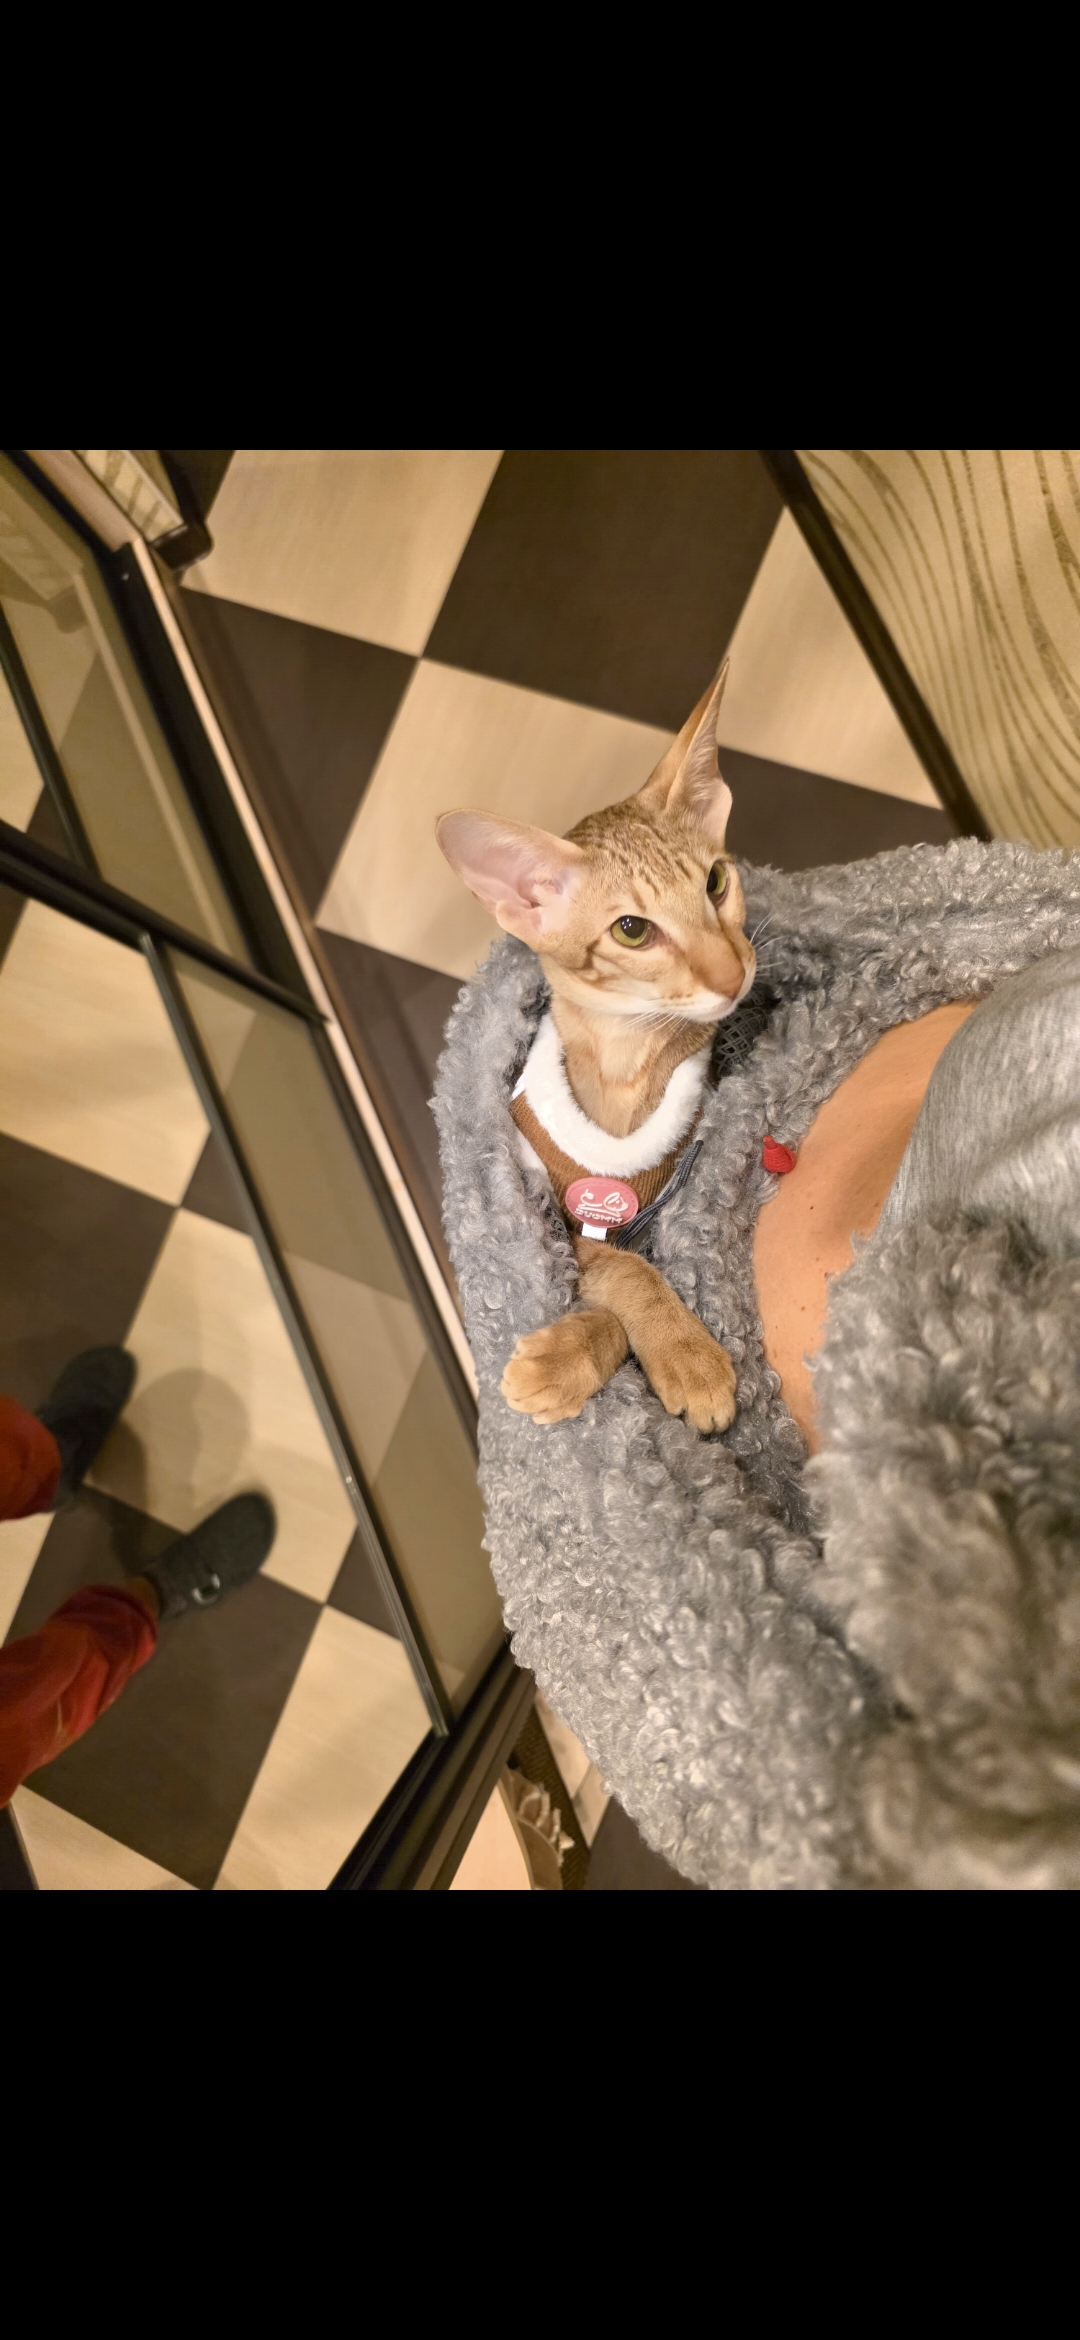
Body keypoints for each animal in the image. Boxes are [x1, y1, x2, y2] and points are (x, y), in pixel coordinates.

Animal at [436, 661, 755, 1434]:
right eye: (632, 931)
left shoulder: (660, 1210)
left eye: (716, 882)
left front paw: (649, 1355)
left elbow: (629, 1268)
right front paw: (672, 1350)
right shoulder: (549, 1216)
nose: (734, 975)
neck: (623, 1068)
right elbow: (616, 1269)